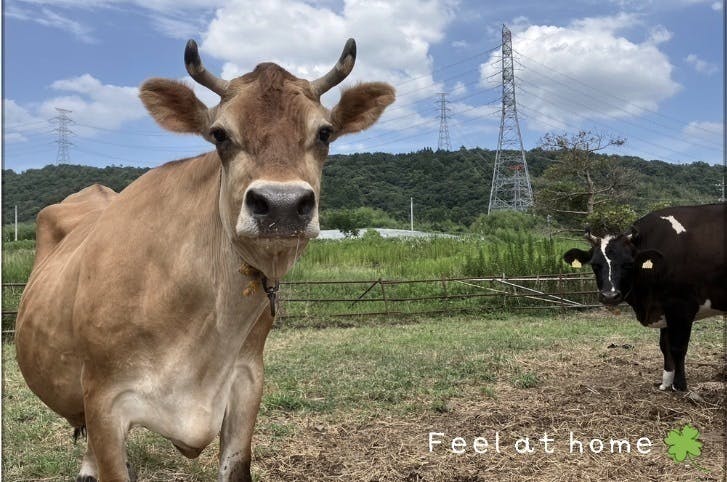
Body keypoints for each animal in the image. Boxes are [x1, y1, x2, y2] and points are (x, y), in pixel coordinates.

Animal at [564, 203, 724, 392]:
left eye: (628, 264)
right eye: (595, 265)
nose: (610, 296)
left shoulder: (682, 306)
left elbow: (678, 347)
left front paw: (679, 385)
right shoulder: (663, 306)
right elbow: (664, 346)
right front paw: (665, 382)